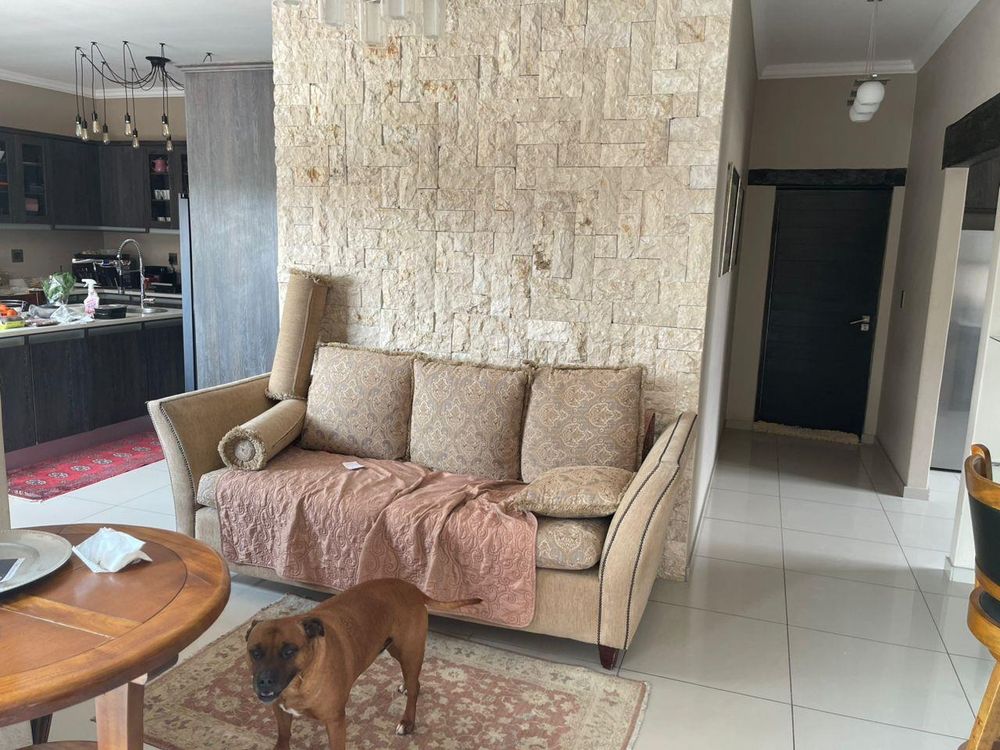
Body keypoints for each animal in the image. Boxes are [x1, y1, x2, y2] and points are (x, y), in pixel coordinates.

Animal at [245, 578, 480, 750]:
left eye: (289, 651)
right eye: (254, 652)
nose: (264, 681)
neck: (298, 683)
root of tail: (411, 588)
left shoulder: (335, 723)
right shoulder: (280, 712)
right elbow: (284, 736)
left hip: (409, 651)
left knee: (414, 690)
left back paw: (407, 721)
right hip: (396, 650)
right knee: (414, 681)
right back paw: (407, 685)